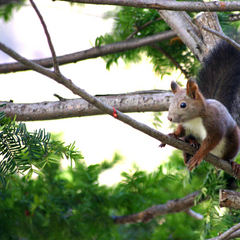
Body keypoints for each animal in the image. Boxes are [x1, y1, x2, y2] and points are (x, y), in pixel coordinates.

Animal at [160, 40, 240, 176]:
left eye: (183, 105)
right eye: (170, 103)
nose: (170, 118)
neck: (194, 119)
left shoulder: (214, 125)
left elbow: (210, 142)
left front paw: (199, 156)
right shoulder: (186, 125)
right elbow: (181, 131)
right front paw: (173, 134)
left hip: (234, 140)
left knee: (227, 157)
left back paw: (232, 164)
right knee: (186, 154)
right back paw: (192, 143)